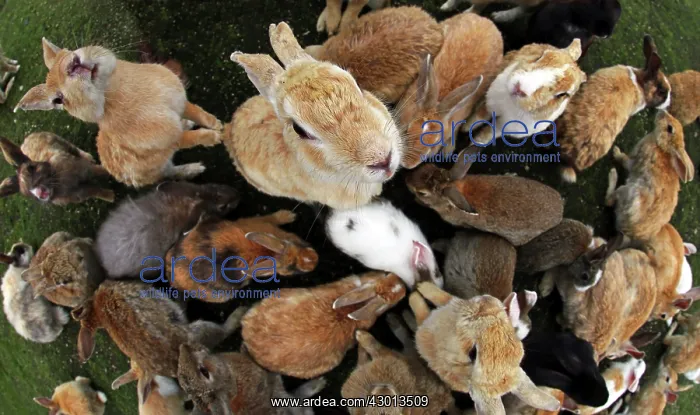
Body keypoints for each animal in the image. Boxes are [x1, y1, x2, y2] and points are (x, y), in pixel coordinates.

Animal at [15, 38, 223, 188]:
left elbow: (199, 113)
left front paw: (217, 124)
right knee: (170, 173)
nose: (71, 64)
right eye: (59, 100)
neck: (109, 89)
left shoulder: (182, 102)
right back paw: (195, 169)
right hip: (160, 168)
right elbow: (192, 138)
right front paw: (216, 137)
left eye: (68, 51)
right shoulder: (169, 140)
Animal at [408, 282, 561, 415]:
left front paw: (413, 297)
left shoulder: (425, 331)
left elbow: (421, 313)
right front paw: (422, 286)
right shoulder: (452, 303)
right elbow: (440, 295)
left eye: (473, 353)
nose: (486, 299)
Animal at [605, 110, 695, 243]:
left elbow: (624, 160)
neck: (661, 147)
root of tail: (628, 232)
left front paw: (616, 151)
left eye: (670, 128)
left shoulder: (634, 161)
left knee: (608, 201)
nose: (662, 111)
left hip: (628, 192)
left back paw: (613, 175)